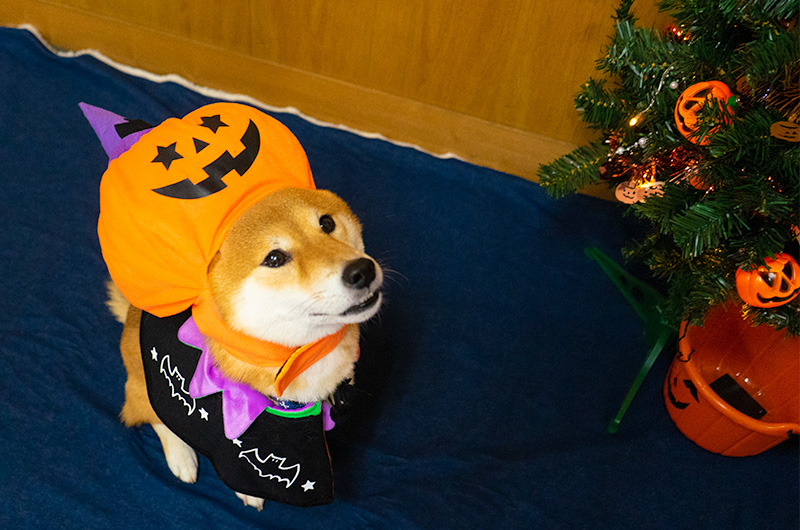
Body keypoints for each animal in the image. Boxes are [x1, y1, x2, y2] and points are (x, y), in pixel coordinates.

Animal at [83, 102, 382, 508]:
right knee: (155, 416)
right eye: (275, 258)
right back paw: (181, 456)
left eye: (326, 223)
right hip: (143, 382)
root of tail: (133, 313)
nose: (362, 271)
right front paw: (246, 490)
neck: (297, 356)